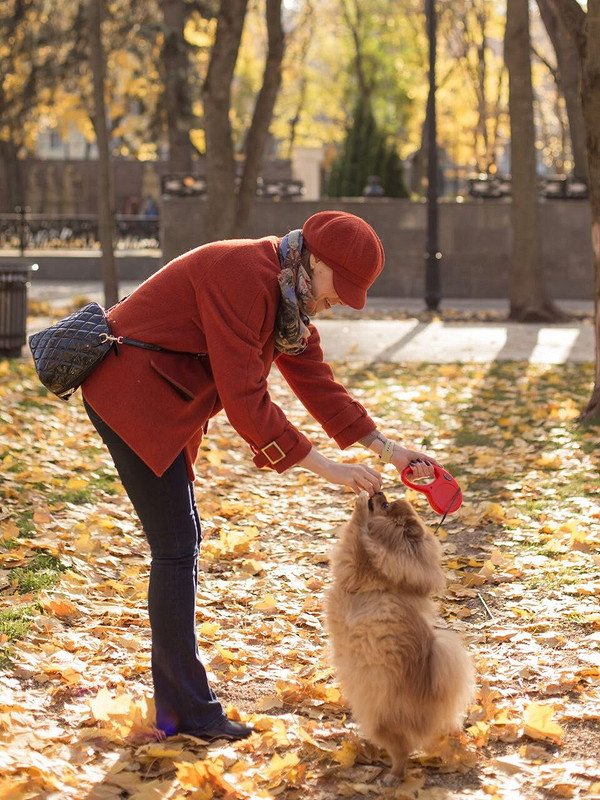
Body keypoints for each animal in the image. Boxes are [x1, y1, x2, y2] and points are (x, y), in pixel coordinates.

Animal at [326, 490, 476, 780]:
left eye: (384, 505)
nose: (378, 491)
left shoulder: (356, 565)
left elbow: (357, 535)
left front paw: (359, 507)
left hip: (383, 721)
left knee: (402, 752)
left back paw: (392, 776)